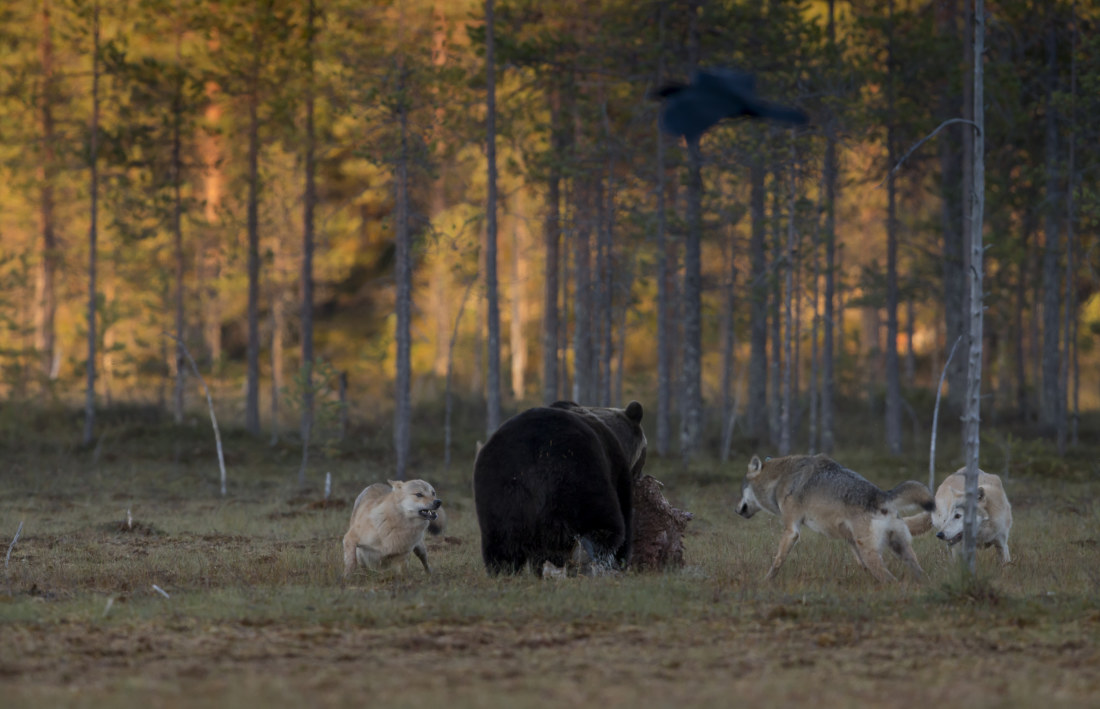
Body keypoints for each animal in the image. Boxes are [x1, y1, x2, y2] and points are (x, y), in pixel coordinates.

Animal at [470, 400, 642, 571]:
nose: (639, 477)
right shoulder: (615, 467)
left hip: (499, 488)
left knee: (500, 543)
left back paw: (504, 569)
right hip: (575, 474)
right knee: (599, 520)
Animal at [739, 452, 937, 580]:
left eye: (742, 490)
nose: (736, 510)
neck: (780, 479)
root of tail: (883, 496)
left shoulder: (791, 530)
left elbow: (777, 561)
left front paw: (766, 582)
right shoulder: (849, 539)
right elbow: (860, 564)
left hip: (872, 552)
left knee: (890, 579)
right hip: (900, 550)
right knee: (920, 574)